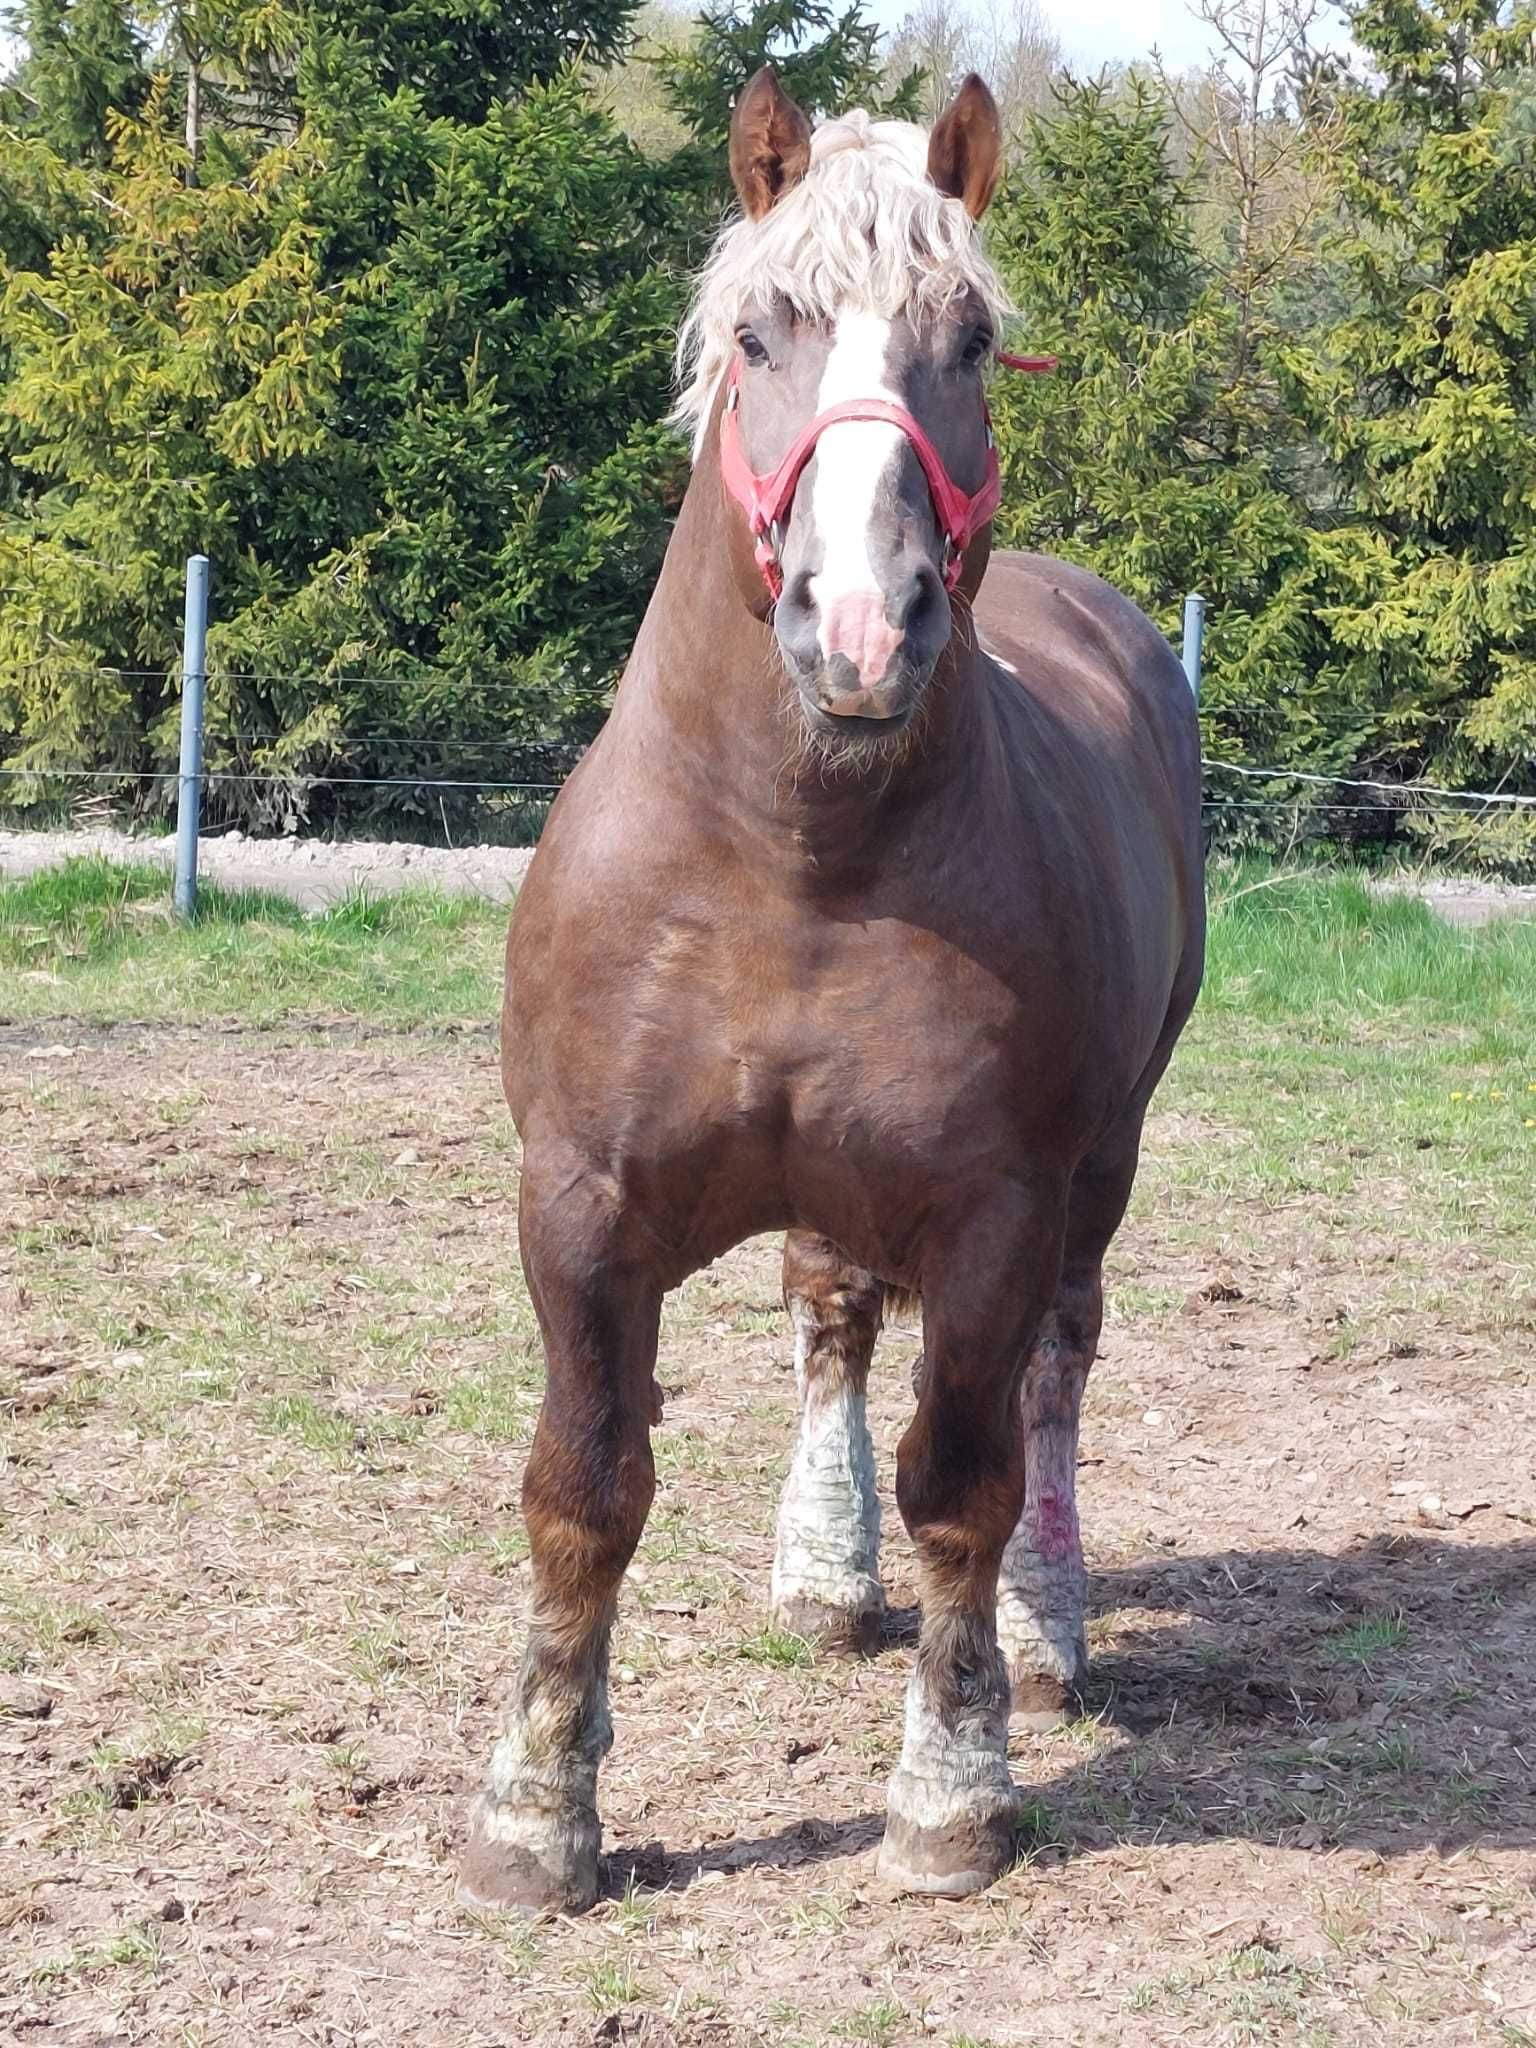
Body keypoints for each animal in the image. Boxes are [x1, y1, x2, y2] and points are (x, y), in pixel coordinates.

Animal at [456, 68, 1204, 1916]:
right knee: (831, 1317)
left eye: (972, 334)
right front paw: (536, 1811)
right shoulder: (576, 1206)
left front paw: (953, 1787)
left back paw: (1049, 1624)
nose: (860, 625)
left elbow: (967, 1482)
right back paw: (819, 1569)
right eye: (758, 331)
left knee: (1058, 1369)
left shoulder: (998, 1211)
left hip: (1098, 1172)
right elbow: (584, 1487)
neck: (795, 854)